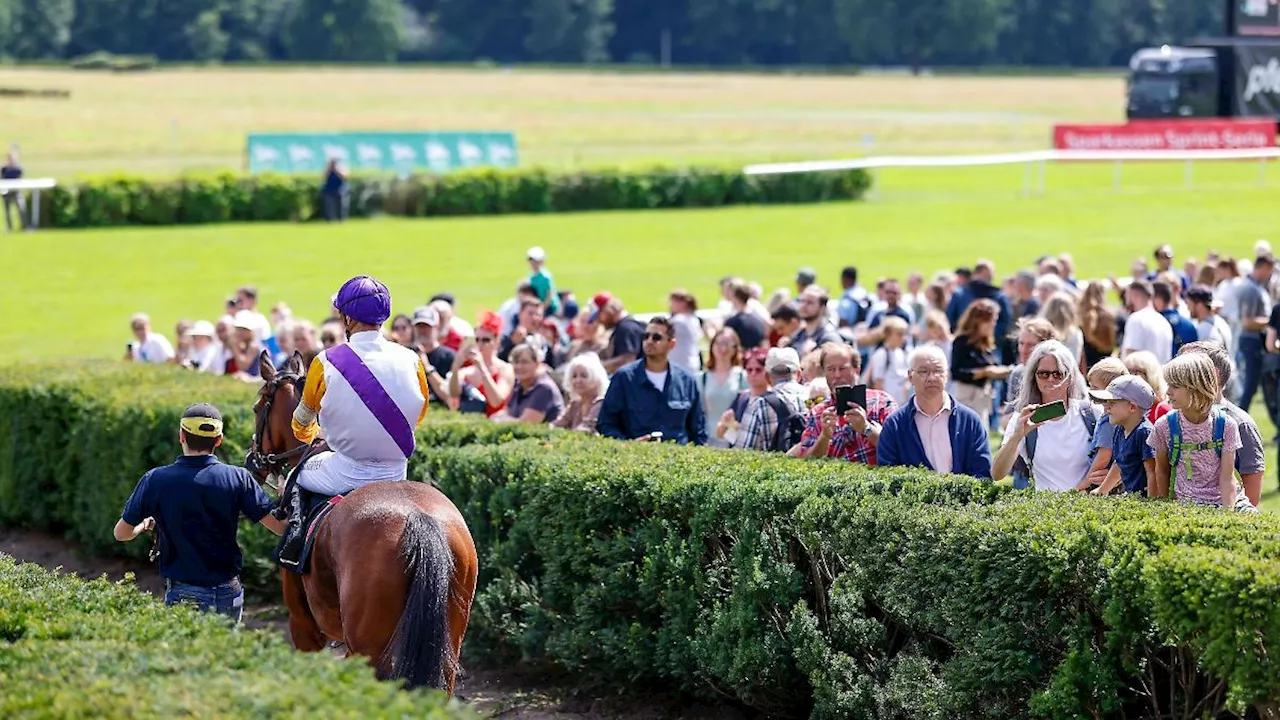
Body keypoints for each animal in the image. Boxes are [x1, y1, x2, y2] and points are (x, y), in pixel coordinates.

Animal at [247, 348, 478, 691]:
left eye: (257, 407)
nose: (252, 462)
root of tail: (419, 517)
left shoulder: (303, 626)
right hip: (448, 642)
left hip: (370, 646)